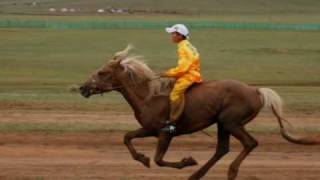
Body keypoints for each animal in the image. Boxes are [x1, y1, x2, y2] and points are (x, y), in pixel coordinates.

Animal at [79, 44, 318, 179]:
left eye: (101, 72)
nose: (83, 88)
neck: (149, 96)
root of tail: (256, 90)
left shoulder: (165, 132)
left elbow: (159, 159)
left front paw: (186, 161)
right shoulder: (149, 129)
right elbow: (127, 138)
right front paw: (142, 158)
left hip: (231, 122)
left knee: (249, 143)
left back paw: (229, 171)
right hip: (223, 124)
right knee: (222, 149)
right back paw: (197, 175)